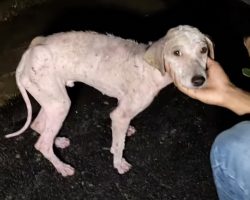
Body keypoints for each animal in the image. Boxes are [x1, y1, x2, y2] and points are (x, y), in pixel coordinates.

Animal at [6, 25, 213, 177]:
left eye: (203, 50)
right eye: (176, 53)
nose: (199, 80)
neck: (151, 68)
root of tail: (27, 55)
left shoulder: (122, 109)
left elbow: (120, 135)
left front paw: (125, 136)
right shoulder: (119, 115)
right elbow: (119, 144)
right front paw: (119, 163)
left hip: (53, 101)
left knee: (39, 126)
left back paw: (58, 141)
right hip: (60, 104)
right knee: (42, 143)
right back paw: (62, 167)